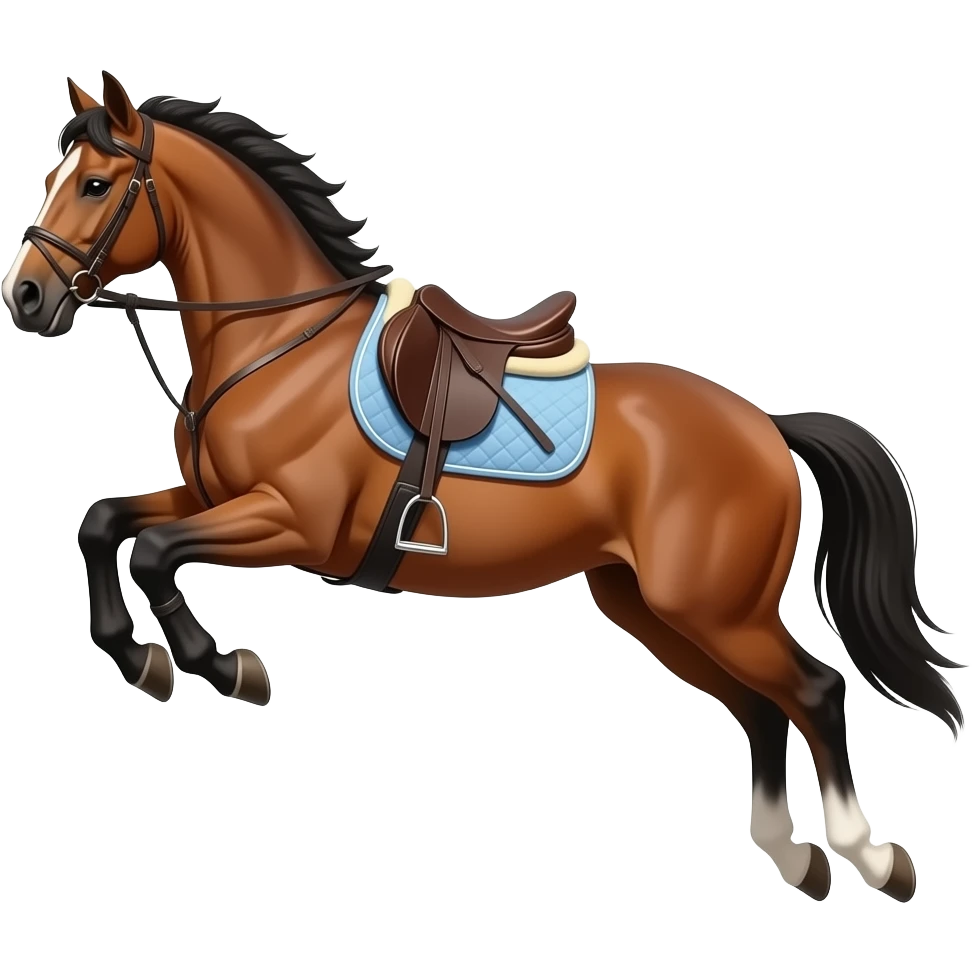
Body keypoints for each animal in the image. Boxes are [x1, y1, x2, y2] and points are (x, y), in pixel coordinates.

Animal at [2, 71, 964, 903]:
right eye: (55, 177)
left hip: (714, 608)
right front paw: (145, 655)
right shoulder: (211, 497)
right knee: (761, 709)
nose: (26, 298)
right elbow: (105, 522)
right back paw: (791, 854)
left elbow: (156, 551)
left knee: (814, 692)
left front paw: (223, 665)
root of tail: (766, 425)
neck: (279, 346)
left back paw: (870, 854)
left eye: (95, 185)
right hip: (654, 606)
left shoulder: (293, 524)